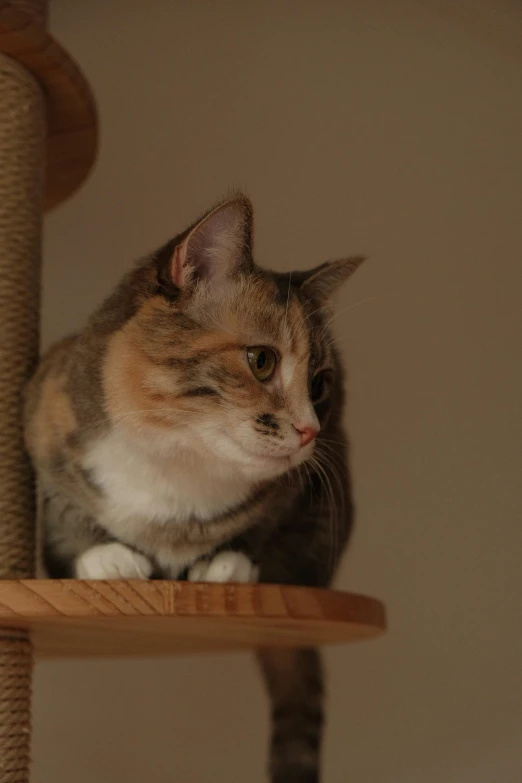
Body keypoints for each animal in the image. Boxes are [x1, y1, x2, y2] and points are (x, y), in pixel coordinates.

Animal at [23, 191, 362, 783]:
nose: (309, 431)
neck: (177, 465)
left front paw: (227, 564)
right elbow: (68, 515)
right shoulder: (43, 420)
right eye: (261, 360)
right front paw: (108, 559)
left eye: (321, 384)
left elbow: (263, 531)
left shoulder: (302, 498)